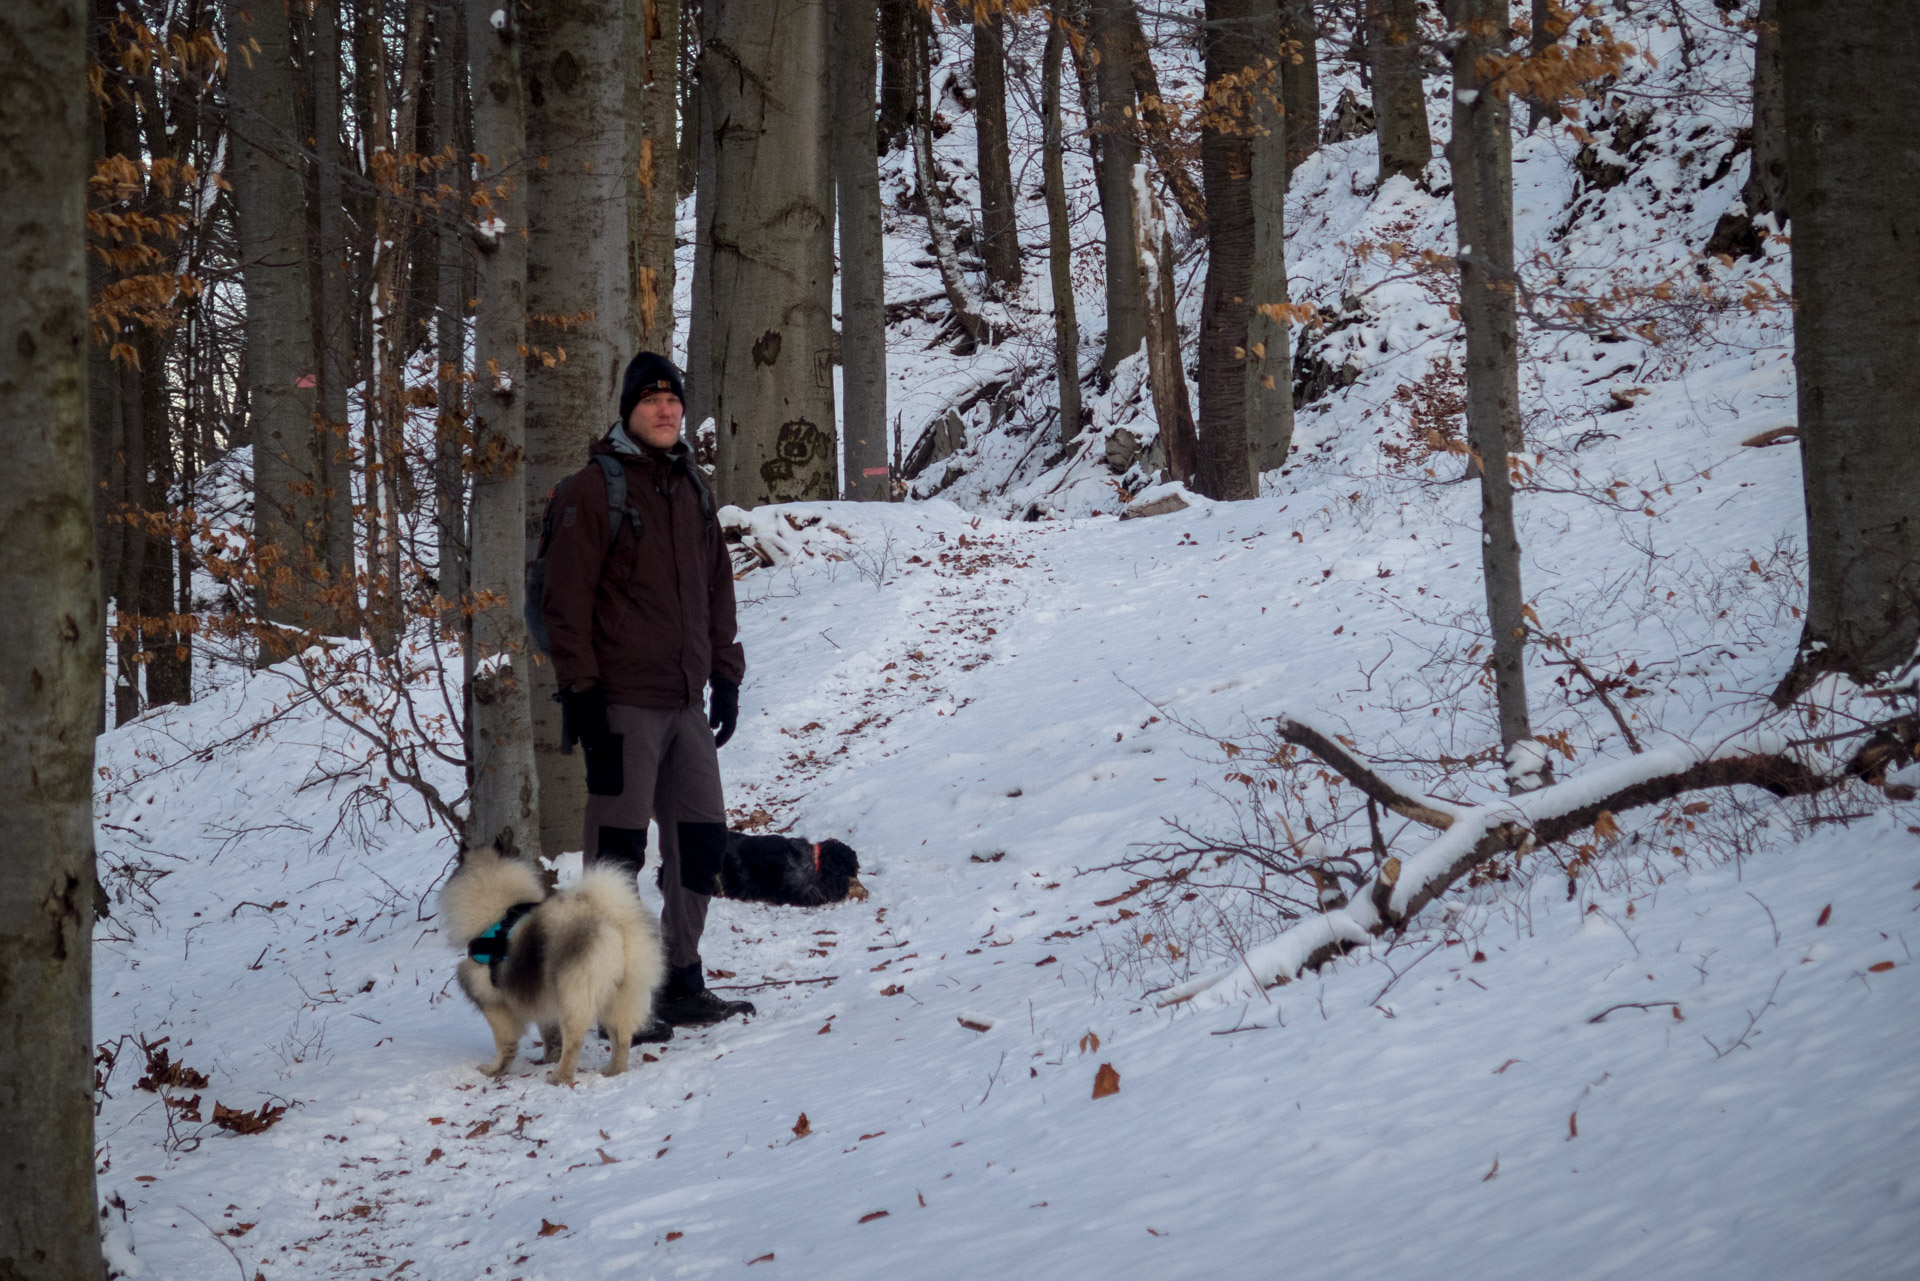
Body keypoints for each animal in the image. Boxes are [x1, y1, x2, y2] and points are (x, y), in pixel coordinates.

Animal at [439, 852, 664, 1083]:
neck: (497, 913)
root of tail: (612, 922)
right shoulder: (543, 998)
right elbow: (549, 1033)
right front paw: (549, 1057)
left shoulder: (493, 1003)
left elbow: (505, 1043)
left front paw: (495, 1069)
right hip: (621, 994)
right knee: (621, 1037)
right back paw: (613, 1071)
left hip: (574, 996)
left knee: (575, 1040)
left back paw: (560, 1076)